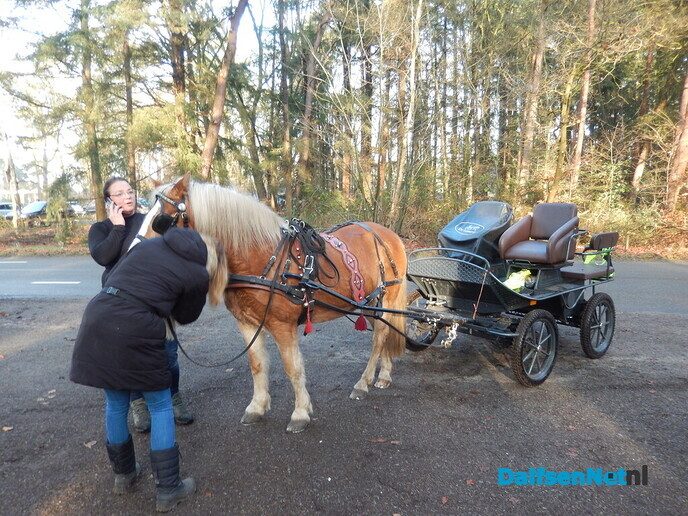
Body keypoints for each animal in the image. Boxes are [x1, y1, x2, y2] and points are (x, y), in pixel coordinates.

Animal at [132, 174, 408, 433]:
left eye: (162, 221)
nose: (133, 255)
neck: (265, 259)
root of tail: (387, 234)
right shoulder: (246, 323)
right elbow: (257, 365)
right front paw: (257, 407)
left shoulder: (282, 325)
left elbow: (292, 367)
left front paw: (300, 412)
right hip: (371, 303)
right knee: (385, 331)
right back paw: (383, 375)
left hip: (386, 297)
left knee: (379, 337)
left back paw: (363, 382)